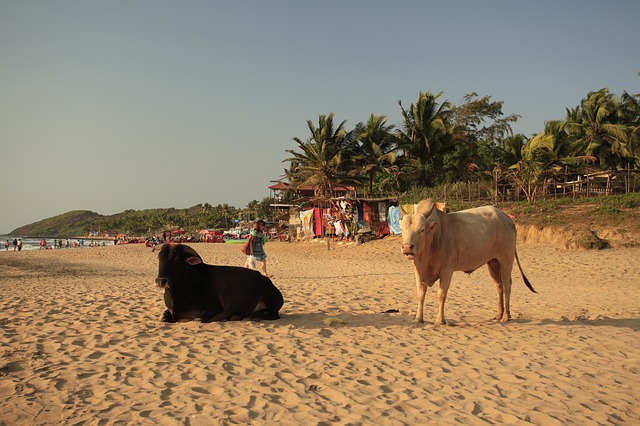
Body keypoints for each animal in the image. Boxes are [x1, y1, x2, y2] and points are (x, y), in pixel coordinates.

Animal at [154, 245, 284, 322]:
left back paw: (255, 316)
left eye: (176, 258)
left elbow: (198, 318)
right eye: (159, 257)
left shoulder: (214, 307)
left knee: (273, 315)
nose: (161, 281)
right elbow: (164, 317)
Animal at [400, 198, 536, 324]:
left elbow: (441, 294)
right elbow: (420, 294)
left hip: (506, 260)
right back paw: (498, 315)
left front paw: (440, 320)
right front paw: (418, 318)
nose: (407, 247)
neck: (434, 236)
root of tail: (508, 219)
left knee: (507, 285)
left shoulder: (447, 269)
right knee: (499, 285)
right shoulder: (418, 269)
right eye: (402, 229)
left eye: (422, 229)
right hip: (493, 262)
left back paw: (506, 317)